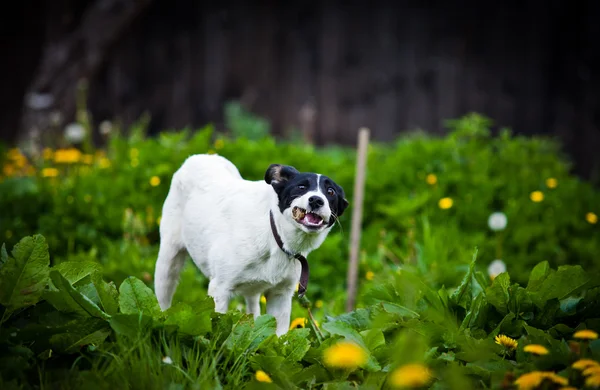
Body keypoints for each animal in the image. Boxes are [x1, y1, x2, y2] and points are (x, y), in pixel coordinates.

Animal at [154, 154, 346, 336]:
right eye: (301, 187)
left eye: (330, 191)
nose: (316, 200)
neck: (275, 234)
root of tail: (200, 156)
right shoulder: (220, 290)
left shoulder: (281, 295)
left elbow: (278, 337)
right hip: (167, 264)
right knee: (164, 301)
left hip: (253, 290)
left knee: (252, 310)